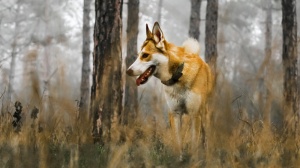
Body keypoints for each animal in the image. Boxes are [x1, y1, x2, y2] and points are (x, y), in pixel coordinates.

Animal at [126, 21, 213, 158]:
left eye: (145, 55)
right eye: (138, 55)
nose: (128, 71)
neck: (178, 76)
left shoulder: (195, 114)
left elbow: (194, 144)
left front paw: (194, 160)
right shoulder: (174, 113)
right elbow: (177, 143)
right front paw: (179, 159)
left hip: (204, 115)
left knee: (206, 139)